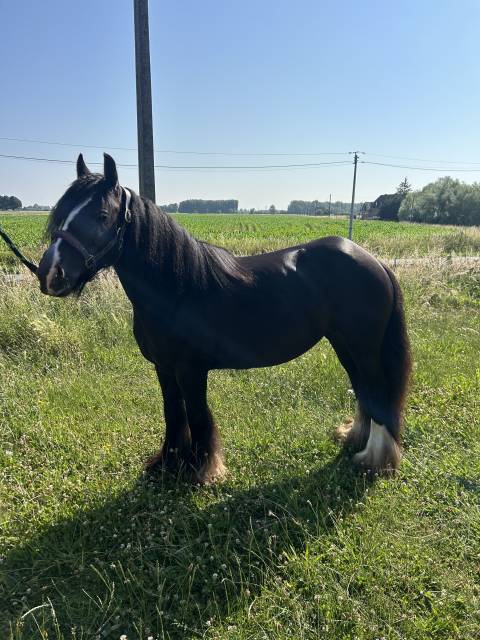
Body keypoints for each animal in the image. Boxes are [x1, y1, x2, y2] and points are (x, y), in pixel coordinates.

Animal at [37, 153, 411, 483]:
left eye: (102, 215)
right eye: (62, 212)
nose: (50, 274)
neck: (176, 288)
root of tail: (373, 260)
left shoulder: (191, 369)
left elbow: (198, 416)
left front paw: (203, 471)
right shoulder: (164, 367)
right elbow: (173, 414)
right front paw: (167, 464)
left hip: (363, 347)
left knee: (377, 391)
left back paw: (374, 460)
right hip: (344, 344)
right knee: (364, 390)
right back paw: (355, 440)